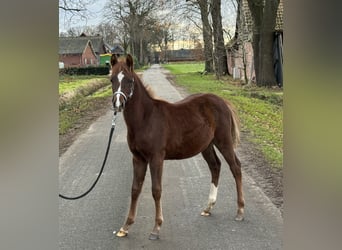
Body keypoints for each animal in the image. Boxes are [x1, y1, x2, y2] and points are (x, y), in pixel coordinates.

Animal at [109, 54, 243, 240]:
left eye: (129, 80)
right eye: (112, 79)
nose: (117, 104)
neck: (146, 119)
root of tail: (222, 101)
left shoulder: (156, 158)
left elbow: (156, 190)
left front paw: (156, 228)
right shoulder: (138, 158)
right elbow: (135, 189)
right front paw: (125, 227)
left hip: (223, 141)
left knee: (235, 167)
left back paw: (240, 211)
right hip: (206, 145)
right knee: (215, 166)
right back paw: (208, 207)